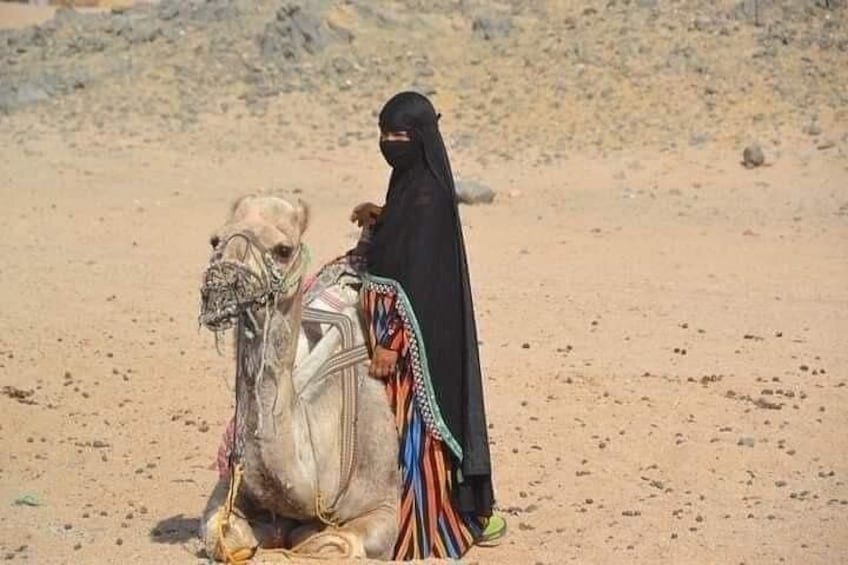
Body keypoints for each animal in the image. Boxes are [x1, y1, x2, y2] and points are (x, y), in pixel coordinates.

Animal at [197, 194, 399, 561]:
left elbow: (329, 542)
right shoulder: (228, 488)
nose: (221, 285)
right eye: (215, 240)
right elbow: (224, 537)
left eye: (283, 249)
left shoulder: (385, 505)